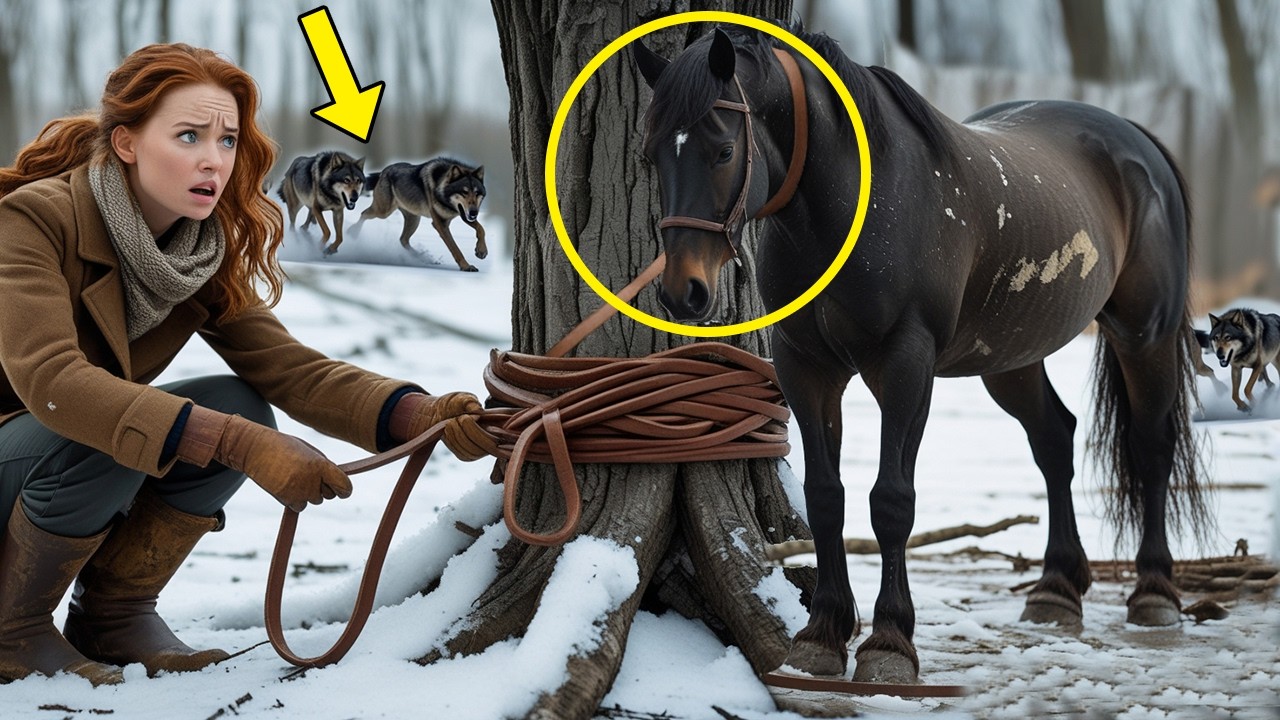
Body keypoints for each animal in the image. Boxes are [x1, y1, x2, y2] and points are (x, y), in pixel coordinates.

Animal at [349, 158, 487, 272]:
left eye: (477, 193)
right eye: (464, 192)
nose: (474, 212)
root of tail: (383, 171)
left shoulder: (464, 215)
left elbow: (481, 229)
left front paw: (481, 251)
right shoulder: (440, 224)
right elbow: (455, 248)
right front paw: (466, 266)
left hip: (414, 219)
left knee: (403, 240)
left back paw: (422, 257)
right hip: (383, 212)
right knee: (363, 213)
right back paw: (352, 232)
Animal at [633, 24, 1209, 684]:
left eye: (724, 150)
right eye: (651, 154)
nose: (683, 291)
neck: (853, 204)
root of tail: (1136, 140)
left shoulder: (906, 367)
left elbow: (891, 502)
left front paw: (888, 644)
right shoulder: (806, 367)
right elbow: (826, 497)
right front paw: (821, 636)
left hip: (1144, 336)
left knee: (1150, 445)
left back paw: (1155, 593)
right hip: (1012, 359)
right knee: (1054, 439)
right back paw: (1056, 590)